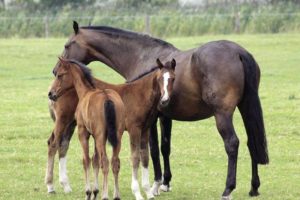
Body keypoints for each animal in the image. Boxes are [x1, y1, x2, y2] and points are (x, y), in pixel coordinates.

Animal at [47, 57, 177, 200]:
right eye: (160, 79)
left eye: (173, 79)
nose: (51, 93)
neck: (141, 94)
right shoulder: (134, 130)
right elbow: (135, 158)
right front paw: (137, 192)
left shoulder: (144, 130)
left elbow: (144, 157)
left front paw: (148, 192)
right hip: (63, 121)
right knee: (53, 144)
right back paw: (51, 186)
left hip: (73, 124)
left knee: (63, 145)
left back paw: (65, 186)